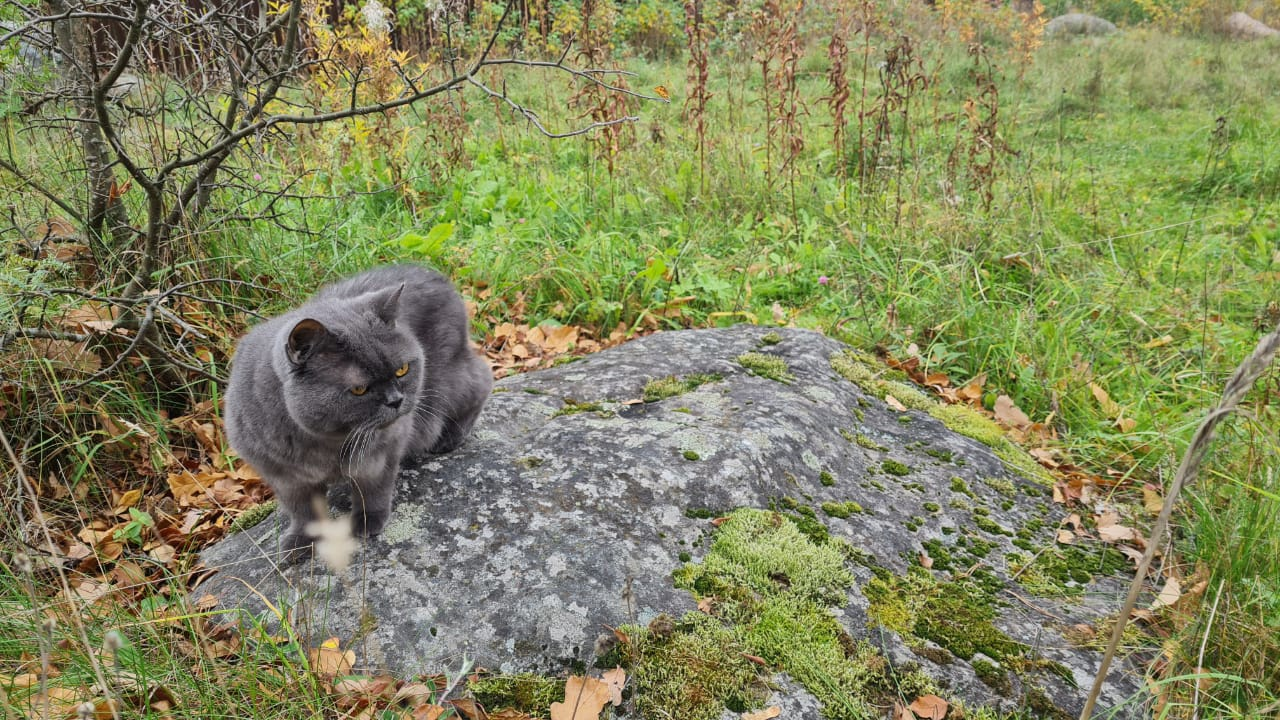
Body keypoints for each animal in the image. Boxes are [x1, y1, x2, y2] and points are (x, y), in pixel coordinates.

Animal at [224, 265, 488, 561]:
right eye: (360, 389)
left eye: (401, 370)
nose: (396, 400)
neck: (325, 442)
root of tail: (434, 274)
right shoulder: (283, 475)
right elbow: (303, 511)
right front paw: (301, 541)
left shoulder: (382, 449)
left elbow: (372, 489)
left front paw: (367, 521)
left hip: (445, 385)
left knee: (481, 379)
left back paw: (450, 438)